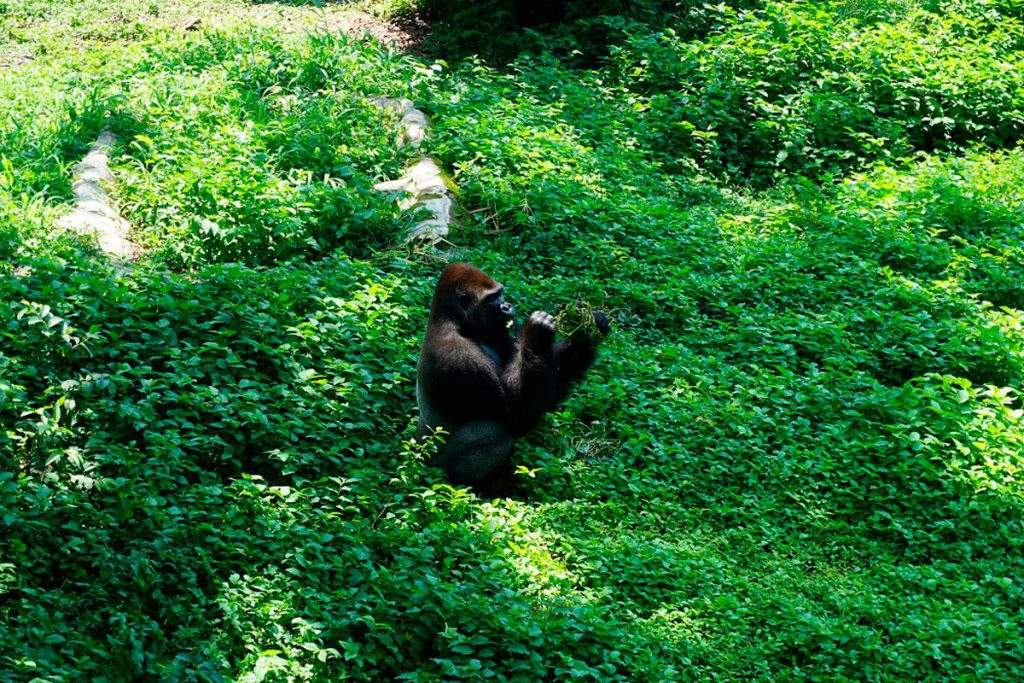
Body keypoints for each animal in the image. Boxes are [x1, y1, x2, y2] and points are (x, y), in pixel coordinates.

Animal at [415, 262, 606, 485]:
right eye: (492, 299)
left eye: (501, 294)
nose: (507, 306)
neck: (456, 323)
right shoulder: (457, 357)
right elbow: (514, 412)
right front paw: (538, 331)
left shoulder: (500, 332)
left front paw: (587, 331)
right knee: (496, 431)